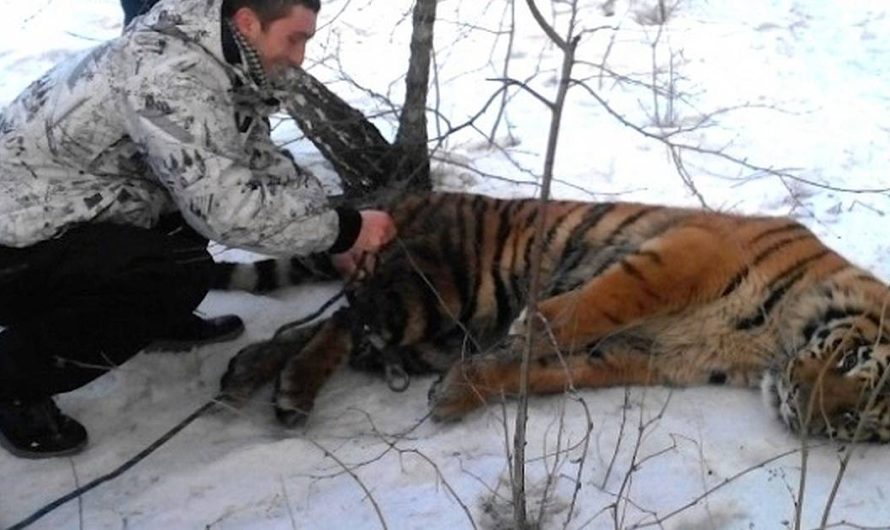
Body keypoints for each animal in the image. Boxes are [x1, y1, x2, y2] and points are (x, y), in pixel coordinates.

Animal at [215, 192, 888, 440]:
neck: (767, 346)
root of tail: (413, 197)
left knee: (324, 329)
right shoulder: (691, 250)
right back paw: (290, 391)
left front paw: (457, 394)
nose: (803, 415)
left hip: (444, 328)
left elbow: (535, 374)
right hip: (437, 290)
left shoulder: (642, 355)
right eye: (851, 358)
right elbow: (604, 301)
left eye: (856, 423)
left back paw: (251, 374)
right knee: (343, 321)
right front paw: (536, 325)